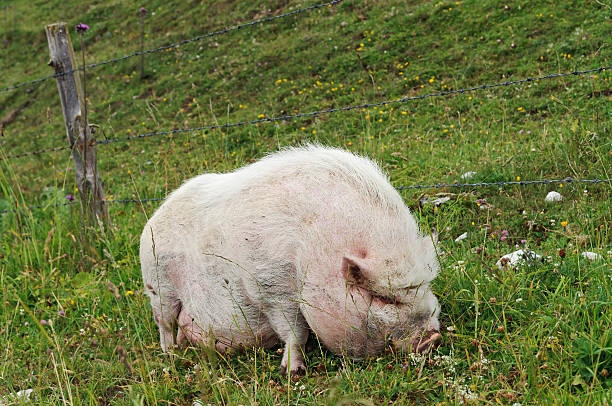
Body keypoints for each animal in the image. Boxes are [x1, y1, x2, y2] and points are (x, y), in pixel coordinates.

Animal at [141, 144, 442, 376]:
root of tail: (154, 218)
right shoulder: (269, 287)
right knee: (164, 323)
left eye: (423, 288)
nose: (433, 339)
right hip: (157, 284)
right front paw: (293, 372)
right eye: (382, 298)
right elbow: (295, 332)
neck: (311, 249)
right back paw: (171, 355)